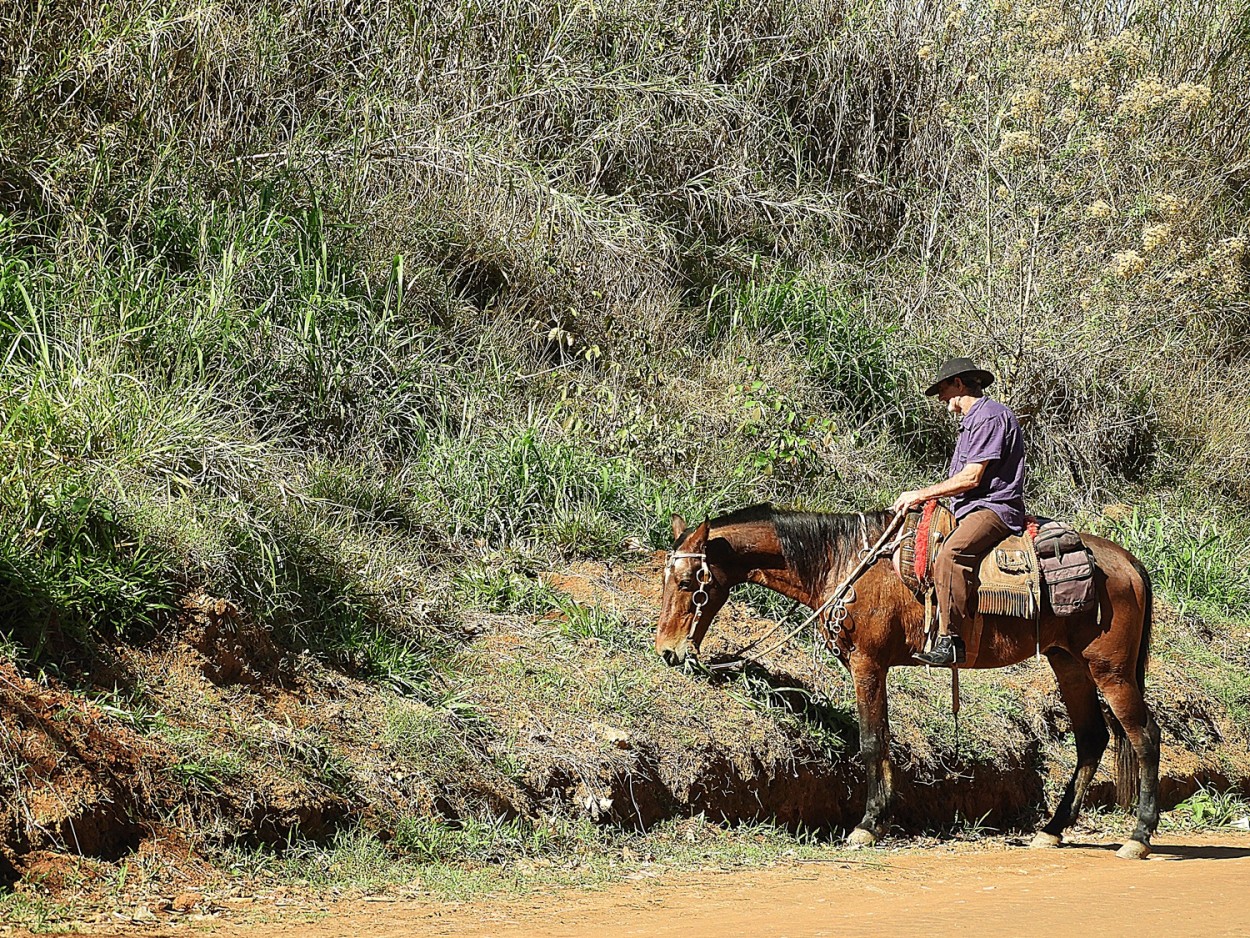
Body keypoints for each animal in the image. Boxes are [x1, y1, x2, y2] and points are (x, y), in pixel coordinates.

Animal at [660, 507, 1155, 860]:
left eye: (687, 582)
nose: (668, 651)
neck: (845, 564)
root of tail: (1128, 561)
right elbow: (881, 739)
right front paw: (879, 819)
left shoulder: (867, 664)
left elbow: (871, 741)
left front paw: (867, 825)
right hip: (1068, 664)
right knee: (1091, 739)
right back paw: (1051, 831)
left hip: (1110, 671)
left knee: (1144, 737)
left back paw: (1139, 836)